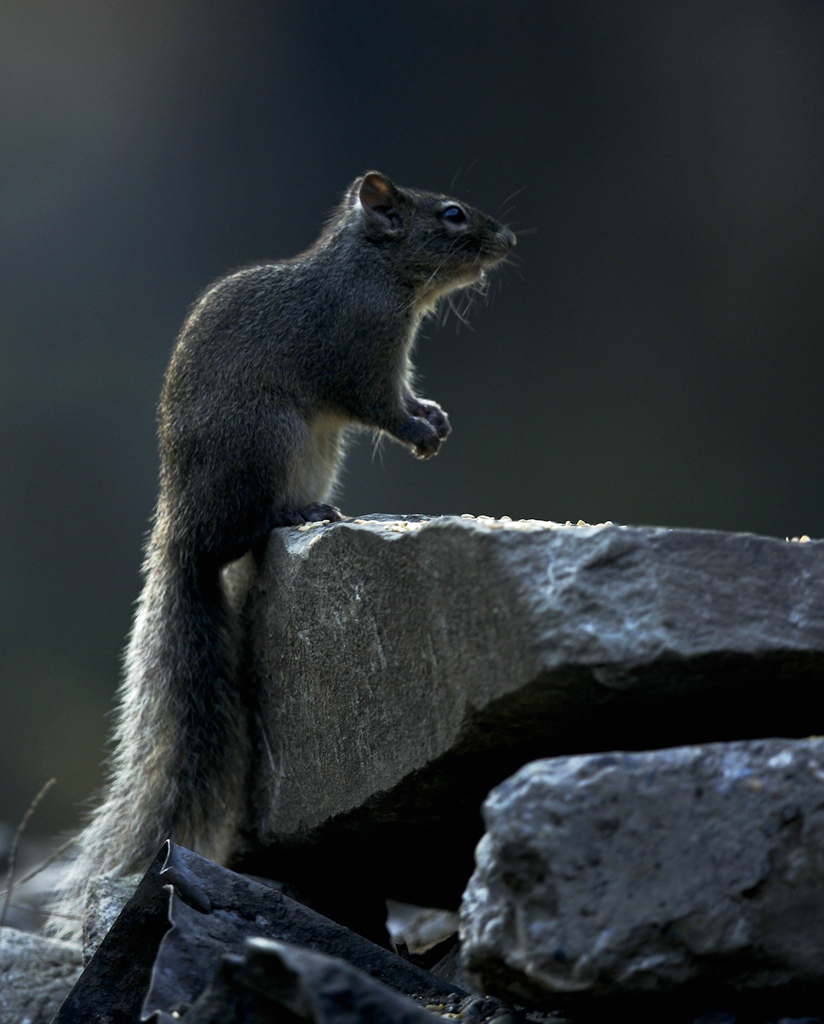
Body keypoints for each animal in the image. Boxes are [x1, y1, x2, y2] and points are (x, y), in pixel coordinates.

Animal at [48, 174, 513, 937]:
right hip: (268, 441)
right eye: (451, 216)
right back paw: (297, 515)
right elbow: (379, 403)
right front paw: (419, 428)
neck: (375, 273)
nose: (507, 239)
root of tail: (186, 528)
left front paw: (434, 415)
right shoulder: (358, 351)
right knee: (243, 532)